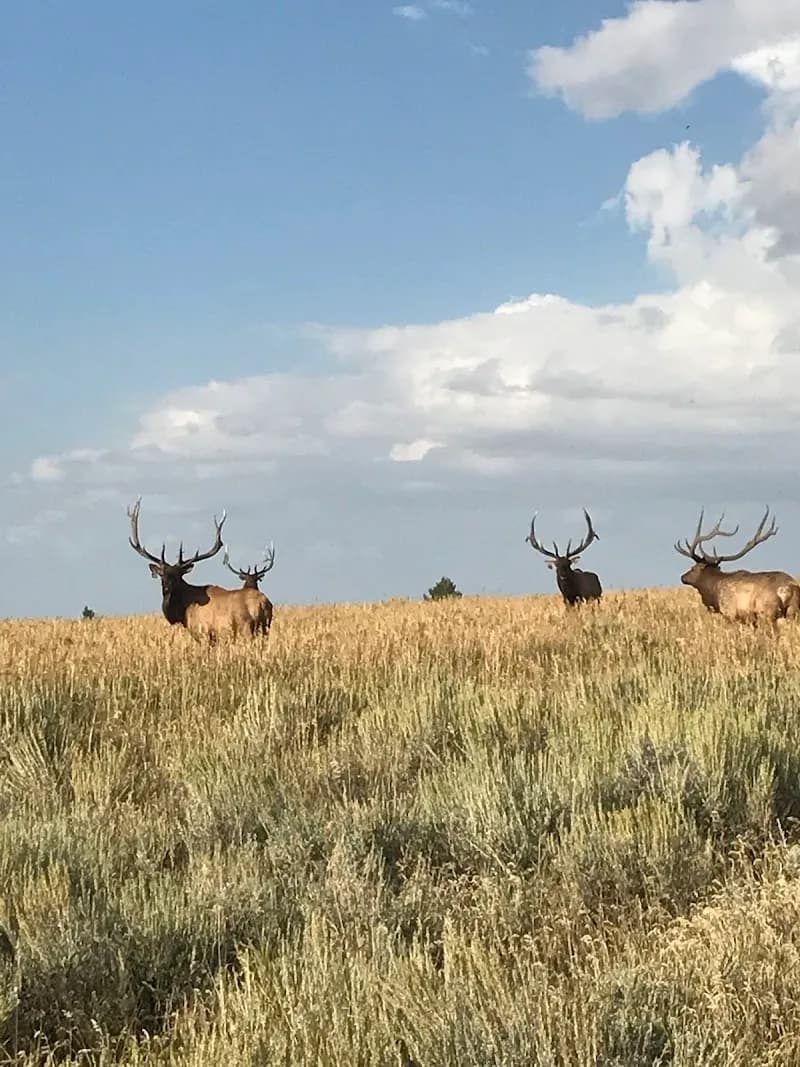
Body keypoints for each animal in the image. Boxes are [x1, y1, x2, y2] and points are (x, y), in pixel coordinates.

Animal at [127, 499, 272, 640]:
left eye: (178, 575)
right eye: (162, 574)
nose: (166, 588)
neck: (183, 611)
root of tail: (262, 604)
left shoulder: (202, 632)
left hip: (245, 629)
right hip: (265, 629)